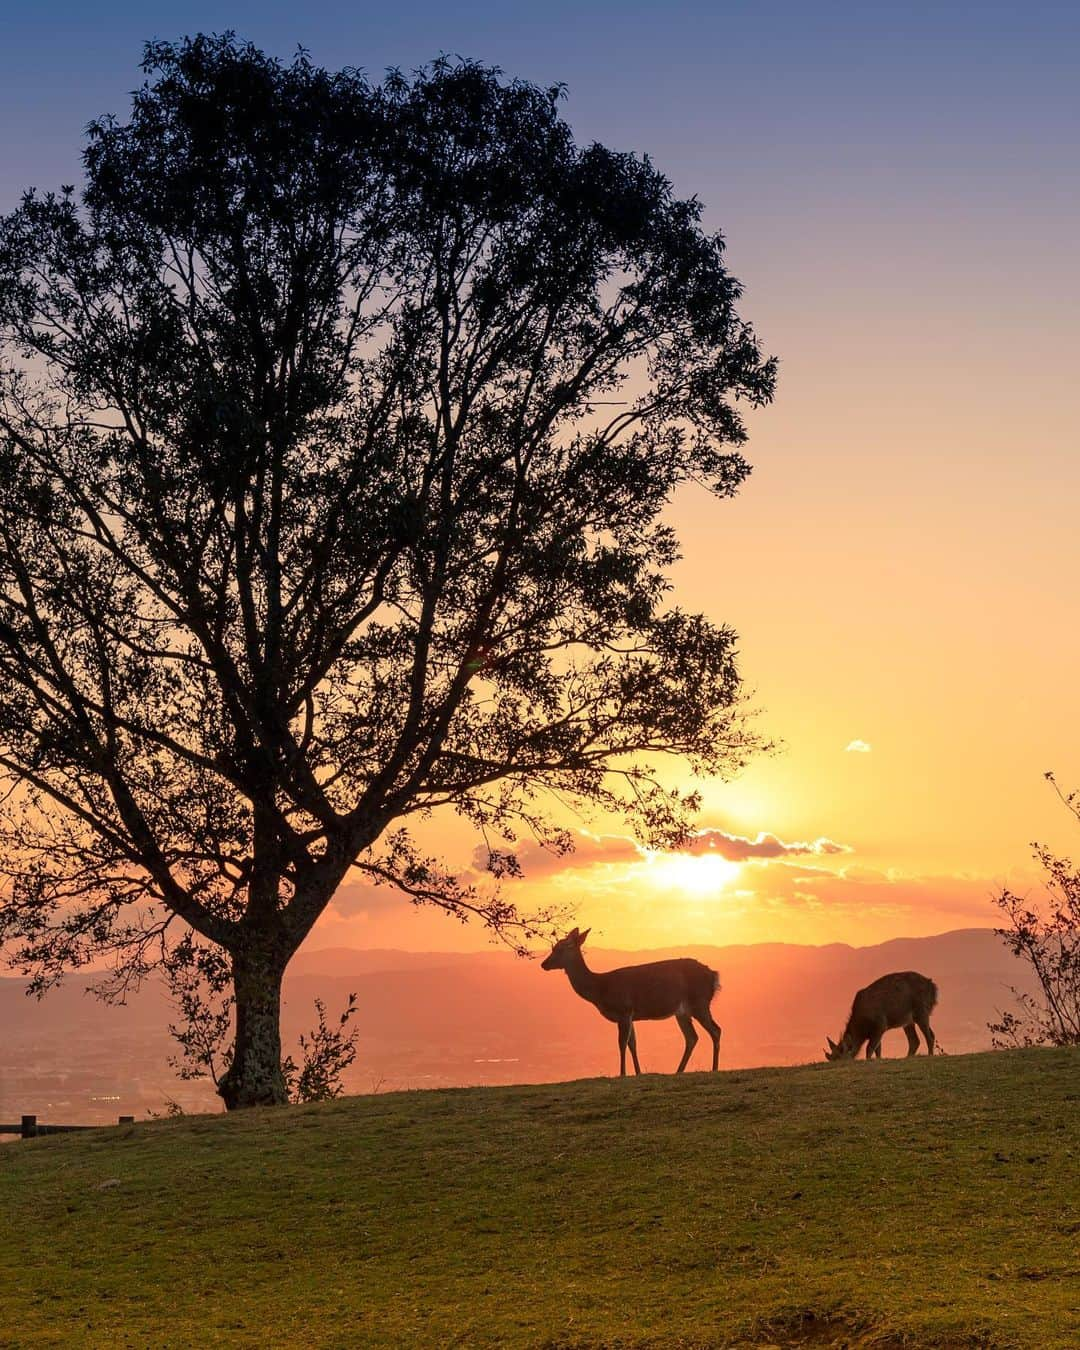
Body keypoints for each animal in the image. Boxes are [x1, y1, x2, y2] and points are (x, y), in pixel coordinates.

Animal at [540, 928, 723, 1074]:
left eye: (562, 948)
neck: (600, 989)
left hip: (699, 1002)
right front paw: (638, 1073)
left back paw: (714, 1068)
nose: (544, 964)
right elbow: (633, 1044)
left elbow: (622, 1043)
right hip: (682, 1011)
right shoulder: (631, 1015)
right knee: (692, 1037)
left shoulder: (624, 1010)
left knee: (716, 1030)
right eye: (553, 947)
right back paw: (679, 1070)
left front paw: (622, 1073)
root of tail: (714, 975)